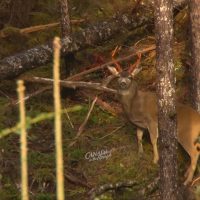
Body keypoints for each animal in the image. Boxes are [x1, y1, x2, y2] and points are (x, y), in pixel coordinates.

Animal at [105, 50, 199, 185]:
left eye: (130, 77)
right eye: (118, 76)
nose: (122, 83)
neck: (134, 105)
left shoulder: (151, 121)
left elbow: (153, 139)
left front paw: (155, 160)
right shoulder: (139, 124)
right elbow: (138, 136)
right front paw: (140, 154)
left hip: (186, 134)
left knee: (194, 153)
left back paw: (187, 181)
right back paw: (187, 175)